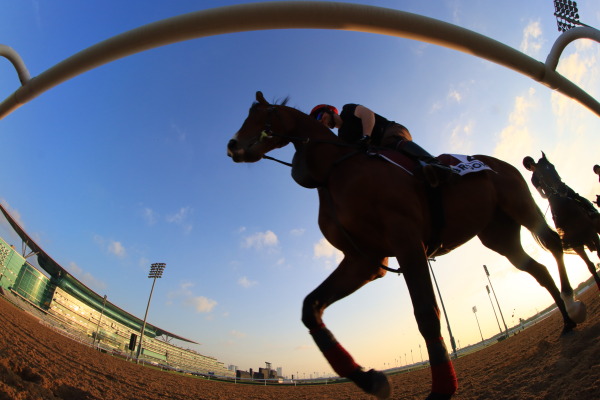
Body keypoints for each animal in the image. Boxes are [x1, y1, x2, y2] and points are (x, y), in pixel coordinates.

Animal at [226, 92, 584, 398]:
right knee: (536, 269)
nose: (232, 145)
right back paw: (567, 321)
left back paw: (572, 302)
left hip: (521, 206)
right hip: (498, 234)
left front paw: (442, 390)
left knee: (553, 243)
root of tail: (499, 163)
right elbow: (310, 308)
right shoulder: (365, 261)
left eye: (262, 115)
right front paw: (370, 379)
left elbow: (426, 314)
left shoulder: (407, 242)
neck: (335, 170)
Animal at [528, 152, 600, 290]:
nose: (562, 188)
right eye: (540, 175)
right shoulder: (576, 244)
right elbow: (590, 266)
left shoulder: (592, 233)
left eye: (552, 166)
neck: (566, 211)